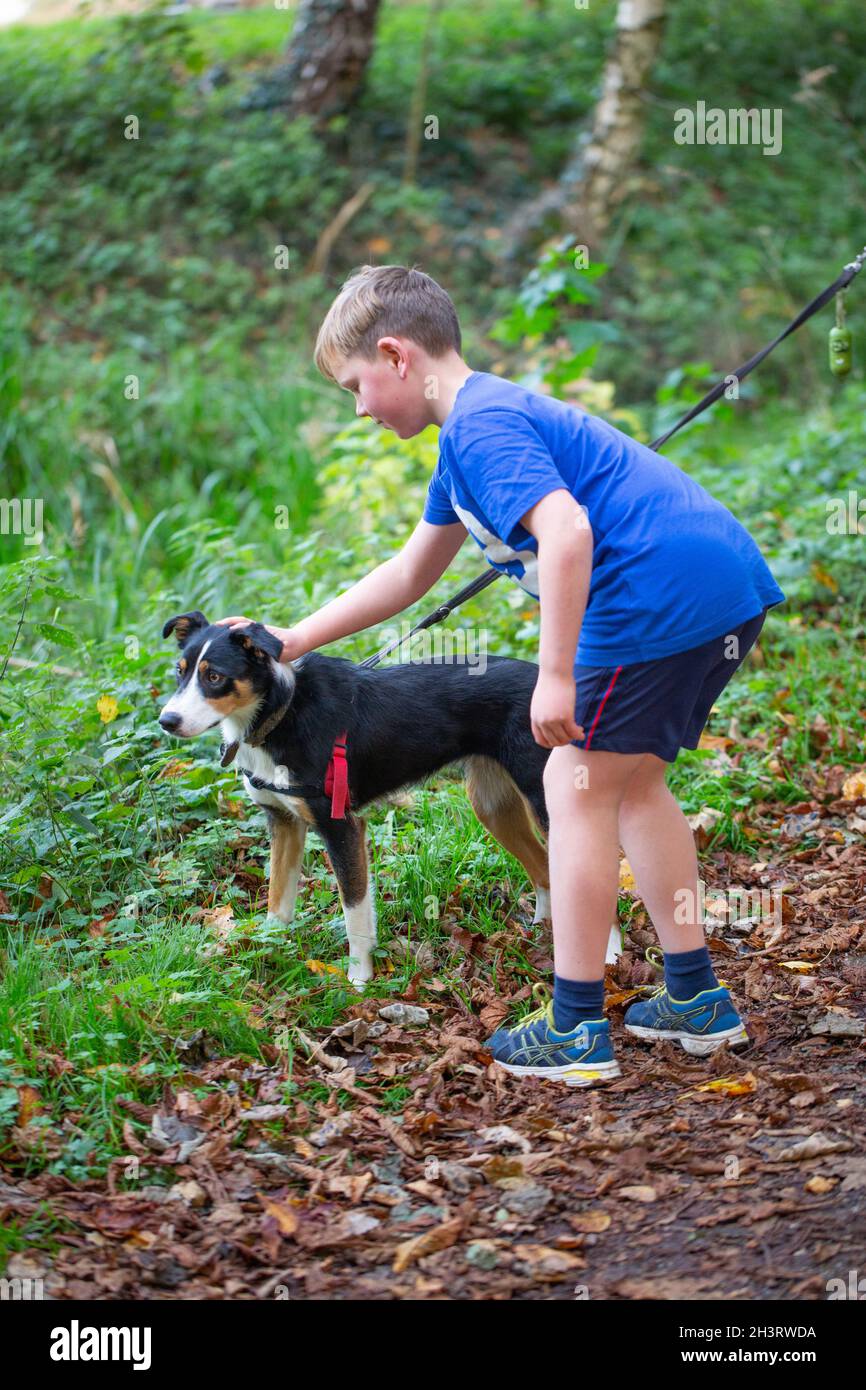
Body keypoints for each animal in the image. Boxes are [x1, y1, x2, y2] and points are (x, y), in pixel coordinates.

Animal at [161, 611, 556, 989]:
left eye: (214, 677)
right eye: (179, 672)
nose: (167, 721)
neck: (281, 713)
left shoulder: (341, 827)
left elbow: (355, 912)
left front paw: (359, 978)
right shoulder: (284, 822)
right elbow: (277, 902)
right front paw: (266, 948)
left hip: (543, 803)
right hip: (492, 806)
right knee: (544, 871)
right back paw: (540, 936)